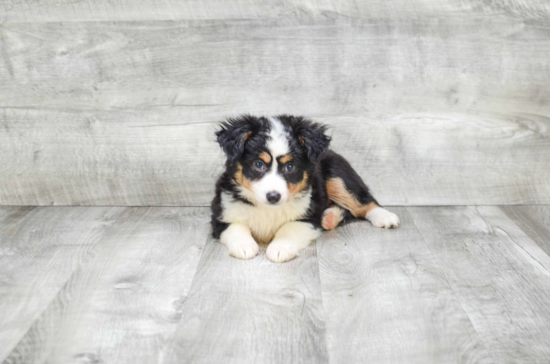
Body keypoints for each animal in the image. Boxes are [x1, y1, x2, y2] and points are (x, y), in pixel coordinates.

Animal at [212, 115, 402, 264]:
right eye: (258, 164)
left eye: (289, 167)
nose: (273, 196)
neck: (268, 209)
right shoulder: (222, 213)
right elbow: (237, 227)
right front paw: (244, 246)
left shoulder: (308, 216)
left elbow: (288, 228)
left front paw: (279, 249)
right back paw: (330, 217)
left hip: (337, 174)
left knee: (363, 200)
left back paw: (384, 216)